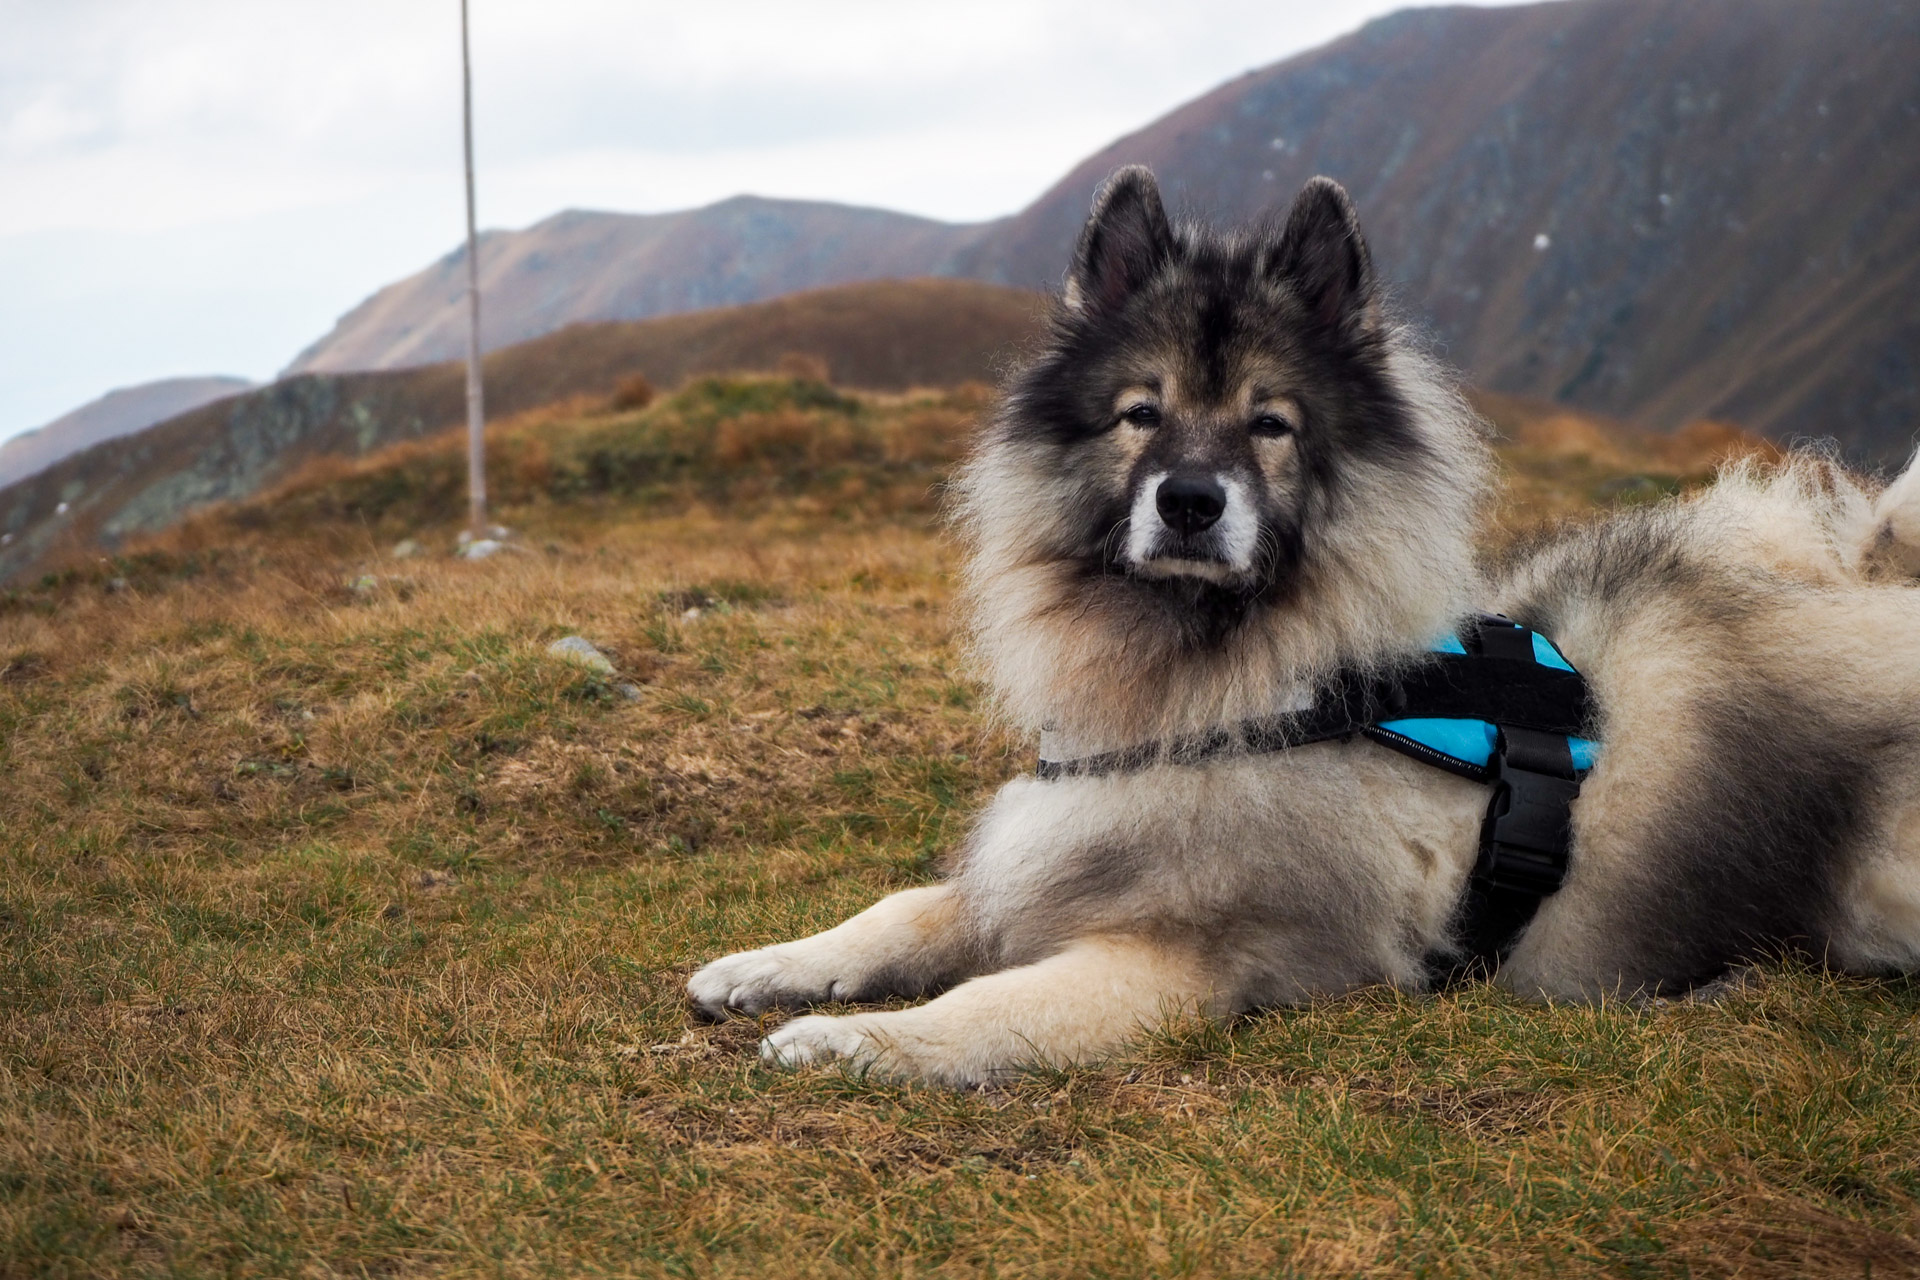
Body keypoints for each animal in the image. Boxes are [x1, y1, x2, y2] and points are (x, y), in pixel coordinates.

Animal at [687, 165, 1920, 1090]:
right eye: (1141, 413)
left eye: (1270, 425)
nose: (1190, 499)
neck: (1222, 692)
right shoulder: (1052, 853)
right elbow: (910, 906)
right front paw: (772, 963)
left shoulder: (1179, 957)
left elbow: (989, 1002)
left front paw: (852, 1041)